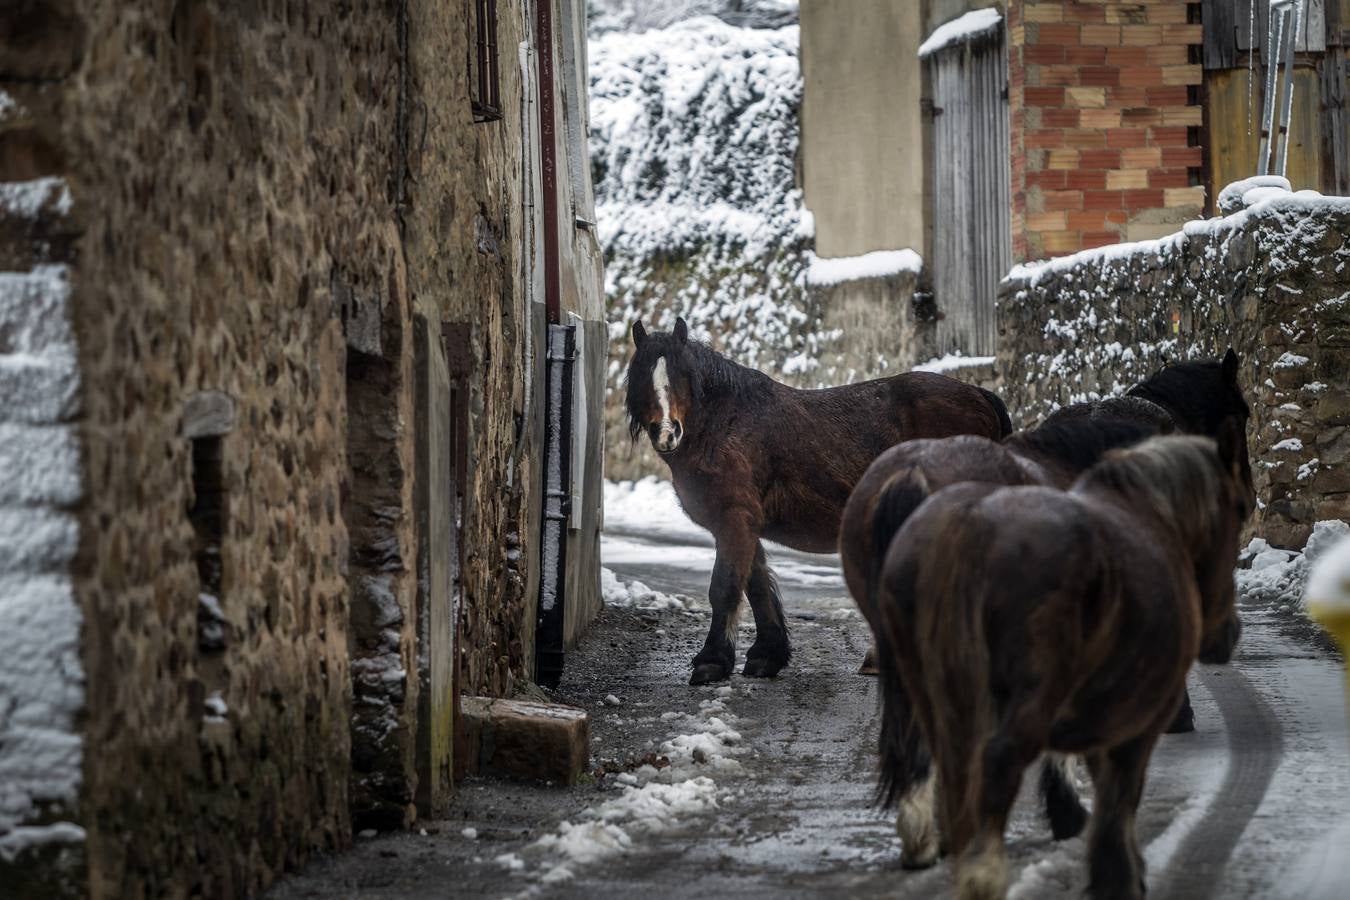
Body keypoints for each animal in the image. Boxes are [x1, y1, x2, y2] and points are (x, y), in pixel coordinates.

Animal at [621, 318, 1015, 682]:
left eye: (681, 375)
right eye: (642, 374)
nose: (667, 432)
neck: (726, 423)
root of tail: (981, 395)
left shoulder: (735, 519)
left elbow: (725, 586)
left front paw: (711, 662)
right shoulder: (743, 525)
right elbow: (758, 586)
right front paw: (766, 656)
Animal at [874, 431, 1242, 895]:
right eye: (1241, 511)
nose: (1228, 633)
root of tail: (972, 523)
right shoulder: (1135, 729)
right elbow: (1118, 805)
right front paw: (1118, 877)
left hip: (926, 688)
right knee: (997, 763)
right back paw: (982, 875)